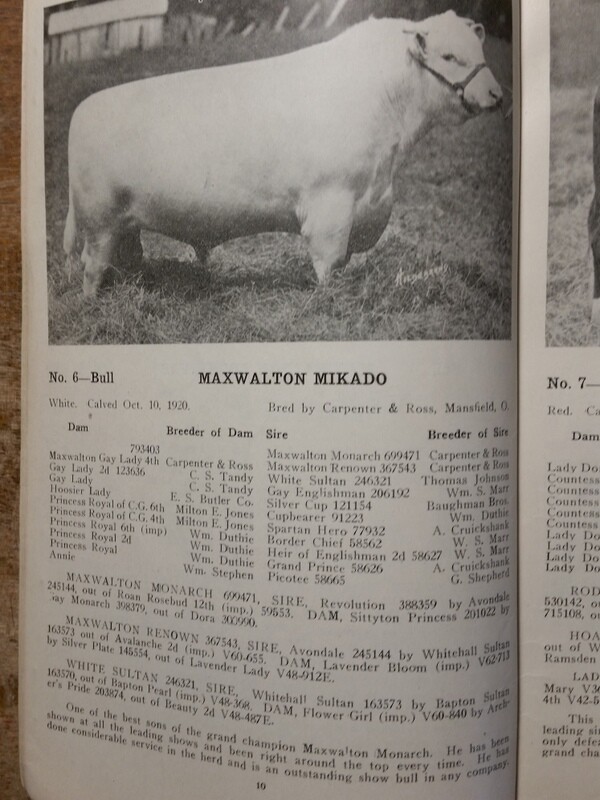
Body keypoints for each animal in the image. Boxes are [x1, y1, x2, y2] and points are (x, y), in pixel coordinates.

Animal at [63, 11, 503, 297]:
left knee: (127, 257)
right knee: (91, 265)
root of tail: (82, 109)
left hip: (124, 222)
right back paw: (94, 302)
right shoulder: (331, 204)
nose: (497, 94)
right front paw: (328, 300)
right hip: (98, 219)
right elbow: (328, 262)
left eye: (478, 49)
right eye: (449, 56)